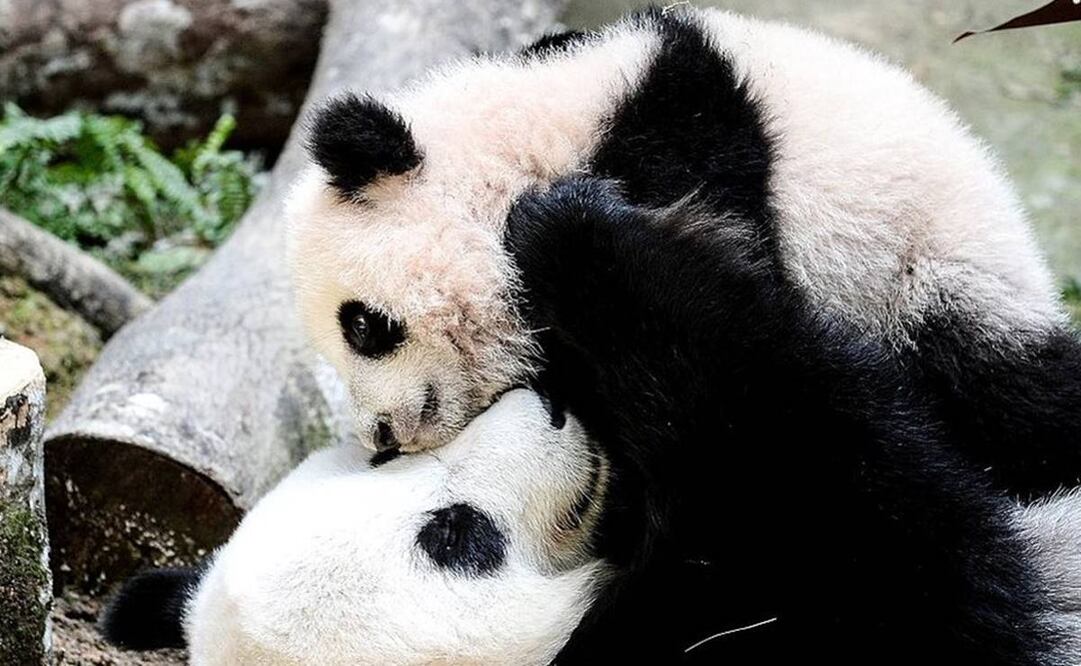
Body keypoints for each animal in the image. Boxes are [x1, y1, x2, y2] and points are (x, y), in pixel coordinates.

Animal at [285, 6, 1081, 503]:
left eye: (364, 326)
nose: (382, 437)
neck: (524, 140)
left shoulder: (688, 150)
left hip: (932, 278)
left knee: (1017, 398)